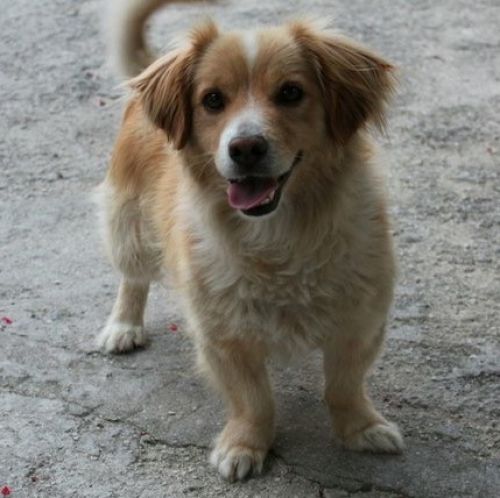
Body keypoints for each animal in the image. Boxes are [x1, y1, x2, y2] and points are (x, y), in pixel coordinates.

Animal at [95, 0, 404, 482]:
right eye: (212, 100)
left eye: (291, 93)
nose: (245, 148)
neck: (279, 239)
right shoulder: (221, 338)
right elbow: (254, 401)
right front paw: (245, 445)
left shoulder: (360, 324)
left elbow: (344, 386)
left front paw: (361, 429)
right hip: (129, 225)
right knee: (134, 277)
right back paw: (124, 325)